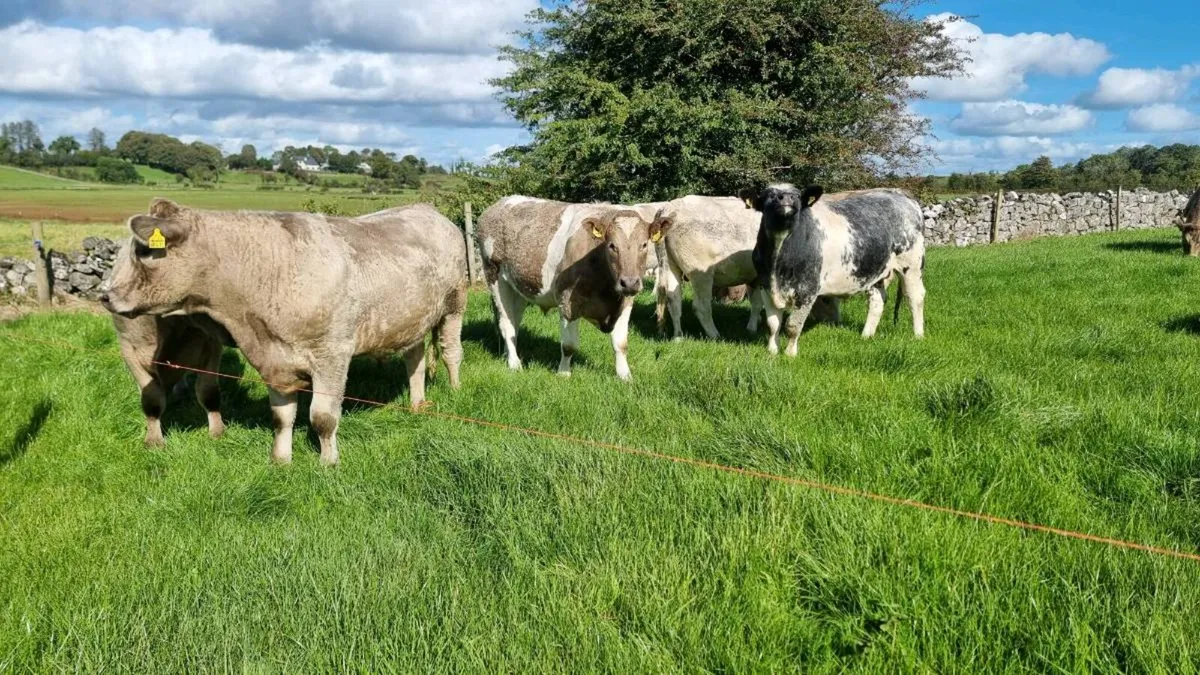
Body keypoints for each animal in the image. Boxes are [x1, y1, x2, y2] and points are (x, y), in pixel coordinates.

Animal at [113, 313, 233, 446]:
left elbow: (208, 392)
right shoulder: (130, 345)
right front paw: (154, 440)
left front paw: (218, 431)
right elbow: (152, 397)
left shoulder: (211, 342)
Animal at [476, 196, 673, 381]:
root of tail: (502, 202)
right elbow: (569, 345)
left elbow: (621, 344)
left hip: (517, 288)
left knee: (513, 322)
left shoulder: (625, 303)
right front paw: (563, 374)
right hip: (495, 277)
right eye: (612, 245)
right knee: (506, 324)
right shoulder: (567, 301)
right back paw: (514, 364)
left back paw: (508, 354)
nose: (630, 282)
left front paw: (625, 376)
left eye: (644, 244)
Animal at [652, 195, 840, 341]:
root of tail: (671, 207)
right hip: (701, 275)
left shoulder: (754, 277)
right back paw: (714, 334)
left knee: (674, 300)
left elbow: (756, 303)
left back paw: (678, 336)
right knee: (701, 306)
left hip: (669, 266)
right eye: (826, 300)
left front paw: (752, 326)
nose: (835, 322)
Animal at [748, 184, 926, 356]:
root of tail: (898, 193)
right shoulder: (766, 286)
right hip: (876, 272)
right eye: (769, 195)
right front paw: (772, 350)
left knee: (915, 297)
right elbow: (773, 324)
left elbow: (793, 325)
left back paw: (918, 335)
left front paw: (790, 353)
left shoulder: (808, 290)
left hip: (911, 265)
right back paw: (866, 335)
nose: (785, 197)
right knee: (877, 300)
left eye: (797, 195)